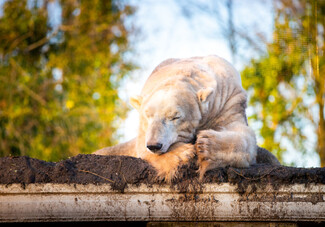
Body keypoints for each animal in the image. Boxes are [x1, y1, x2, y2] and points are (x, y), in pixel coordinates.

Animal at [94, 55, 278, 182]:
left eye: (175, 117)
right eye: (148, 115)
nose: (154, 145)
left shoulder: (228, 100)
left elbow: (243, 135)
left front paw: (206, 144)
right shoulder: (143, 129)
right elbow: (142, 148)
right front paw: (182, 154)